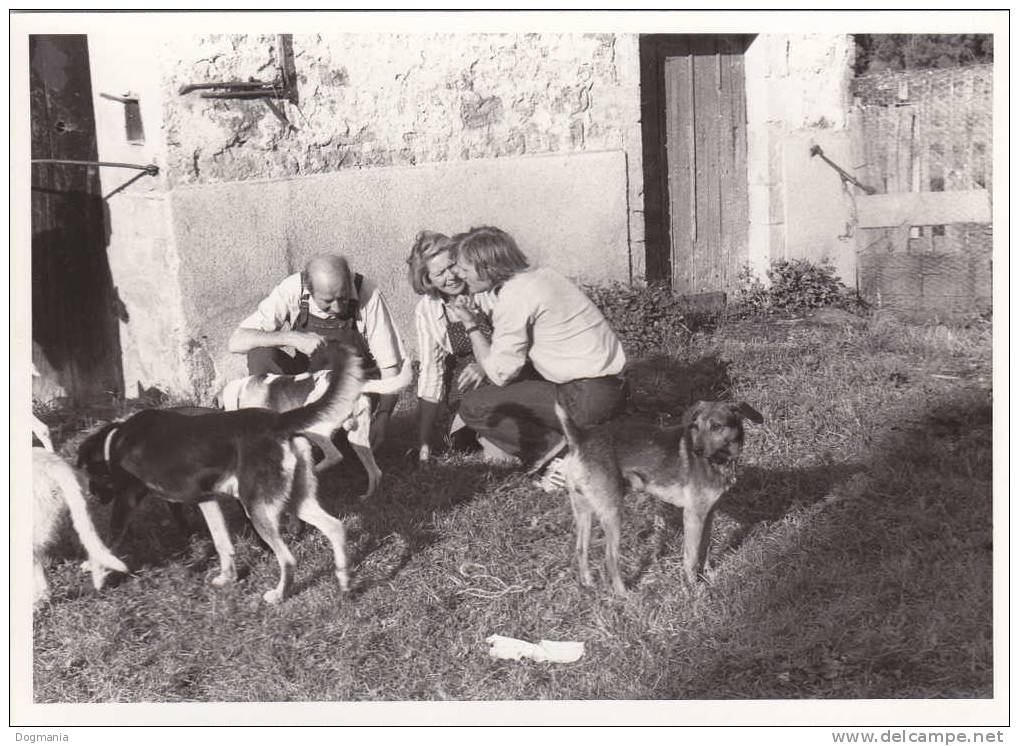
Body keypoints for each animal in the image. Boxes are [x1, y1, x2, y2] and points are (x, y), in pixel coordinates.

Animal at [78, 350, 366, 607]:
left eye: (91, 474)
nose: (92, 495)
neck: (115, 441)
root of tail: (278, 421)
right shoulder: (207, 499)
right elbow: (221, 541)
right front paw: (227, 577)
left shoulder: (126, 500)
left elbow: (107, 541)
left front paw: (96, 572)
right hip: (295, 498)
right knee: (335, 527)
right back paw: (344, 581)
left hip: (257, 506)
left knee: (288, 559)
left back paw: (279, 595)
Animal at [554, 395, 762, 595]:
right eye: (696, 426)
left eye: (717, 426)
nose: (696, 451)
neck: (719, 460)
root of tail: (579, 438)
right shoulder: (693, 516)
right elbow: (691, 556)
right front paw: (693, 586)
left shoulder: (708, 514)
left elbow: (704, 548)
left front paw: (709, 574)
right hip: (612, 513)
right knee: (610, 557)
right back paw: (624, 595)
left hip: (584, 511)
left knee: (581, 549)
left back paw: (588, 583)